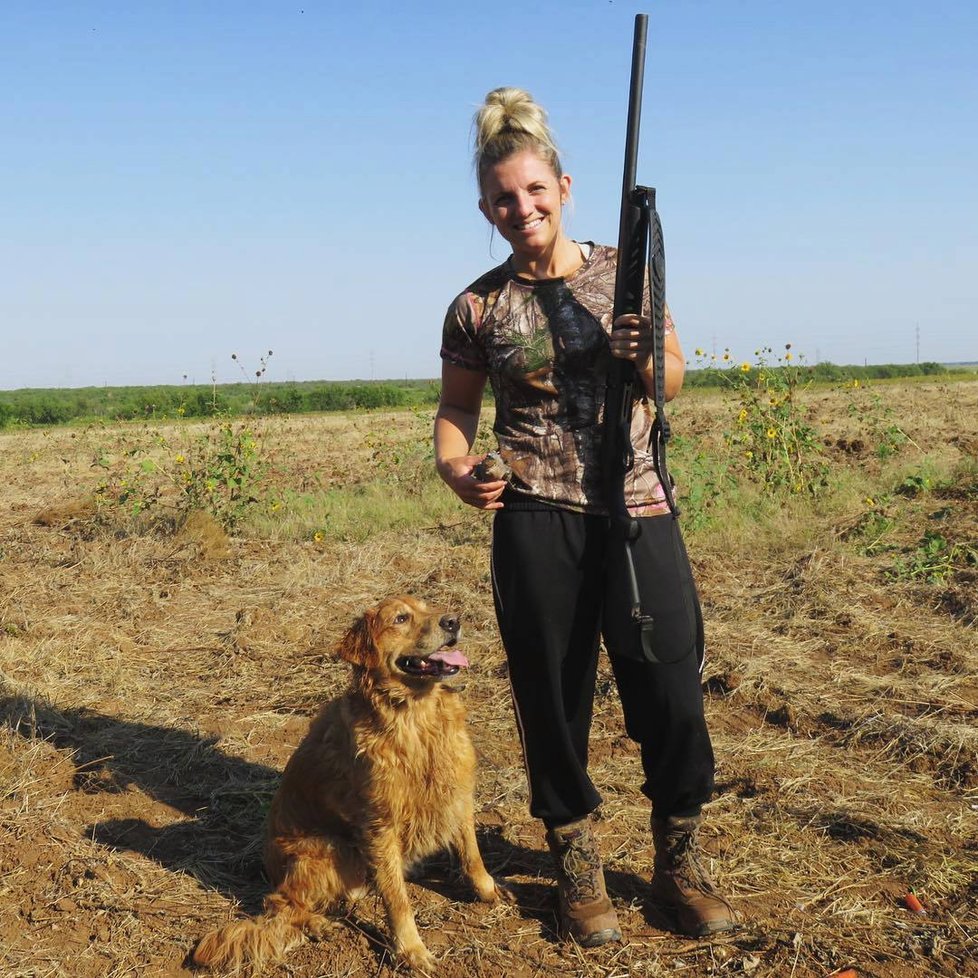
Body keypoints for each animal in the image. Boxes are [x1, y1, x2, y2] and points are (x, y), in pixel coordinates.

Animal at [193, 592, 510, 972]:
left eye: (428, 607)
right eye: (400, 618)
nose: (453, 621)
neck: (416, 715)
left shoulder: (456, 792)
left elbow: (472, 854)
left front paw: (488, 890)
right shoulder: (380, 824)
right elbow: (398, 900)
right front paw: (411, 949)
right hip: (328, 849)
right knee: (280, 903)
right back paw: (318, 923)